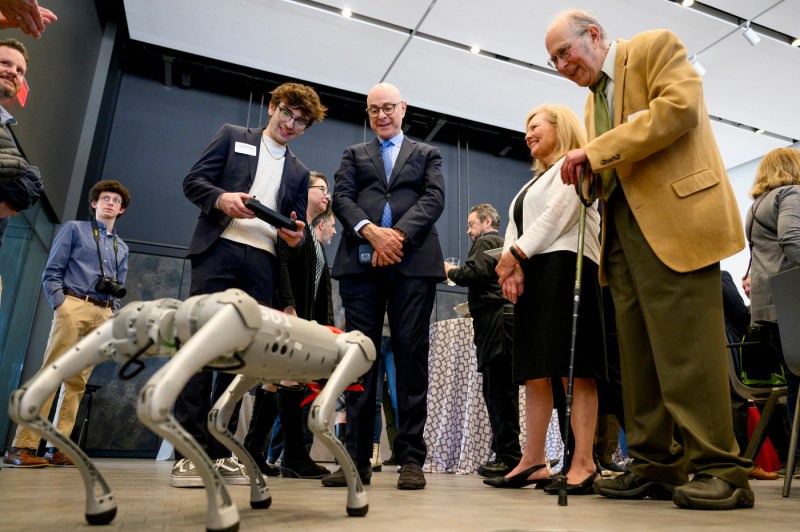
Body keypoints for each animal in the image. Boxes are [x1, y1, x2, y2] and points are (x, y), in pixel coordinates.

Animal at [7, 288, 376, 528]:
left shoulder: (254, 366)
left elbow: (220, 418)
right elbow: (319, 417)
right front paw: (357, 498)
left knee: (28, 398)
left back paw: (101, 502)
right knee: (160, 398)